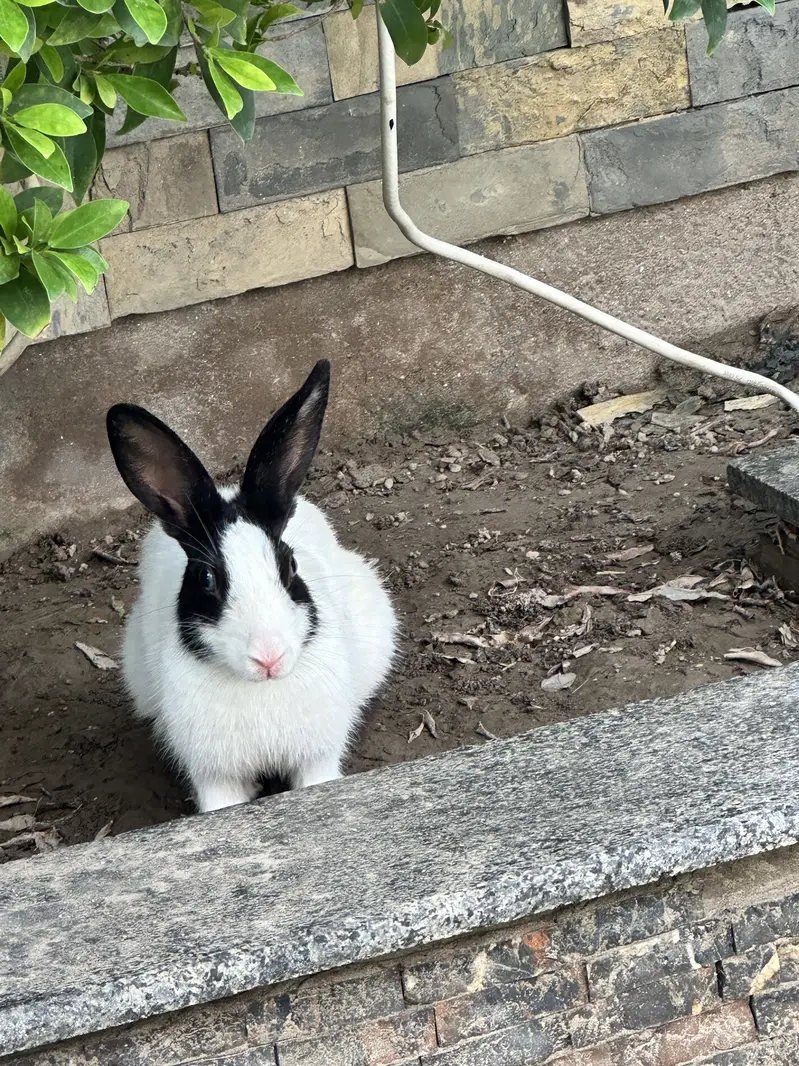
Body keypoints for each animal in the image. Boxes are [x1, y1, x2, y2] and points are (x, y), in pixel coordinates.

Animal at [106, 360, 397, 813]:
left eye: (290, 565)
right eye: (207, 578)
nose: (269, 658)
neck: (262, 690)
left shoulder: (317, 758)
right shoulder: (216, 778)